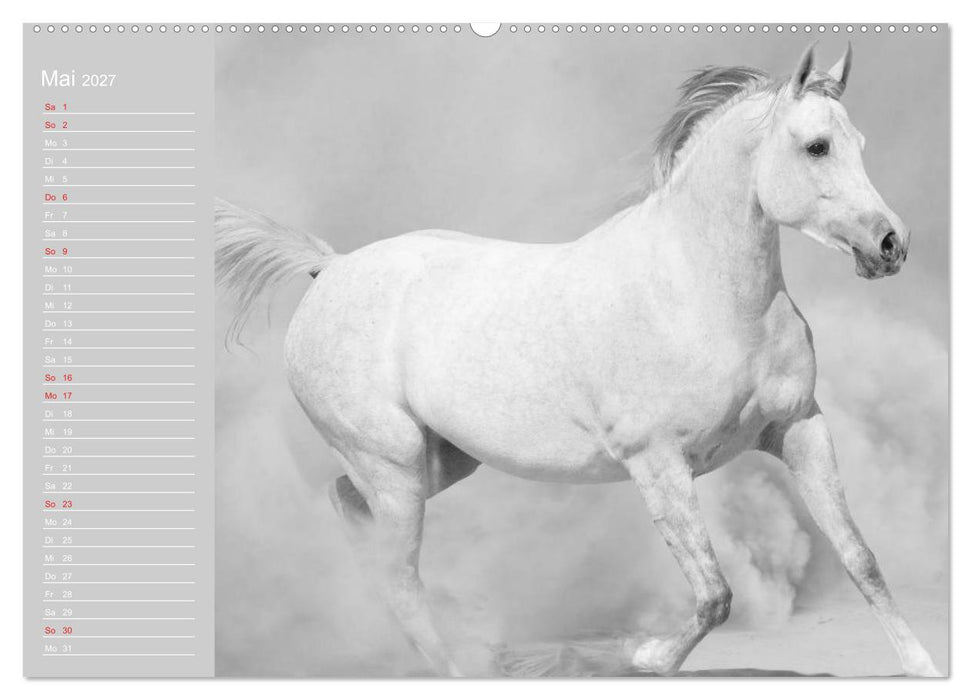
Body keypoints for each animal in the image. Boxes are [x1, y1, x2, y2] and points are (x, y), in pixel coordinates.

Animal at [214, 45, 941, 677]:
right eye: (815, 146)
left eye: (859, 145)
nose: (890, 245)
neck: (702, 294)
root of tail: (330, 268)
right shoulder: (657, 463)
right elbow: (714, 595)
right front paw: (640, 657)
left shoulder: (799, 428)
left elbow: (861, 559)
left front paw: (923, 668)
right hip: (392, 467)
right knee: (397, 575)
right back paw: (457, 666)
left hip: (438, 462)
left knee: (348, 508)